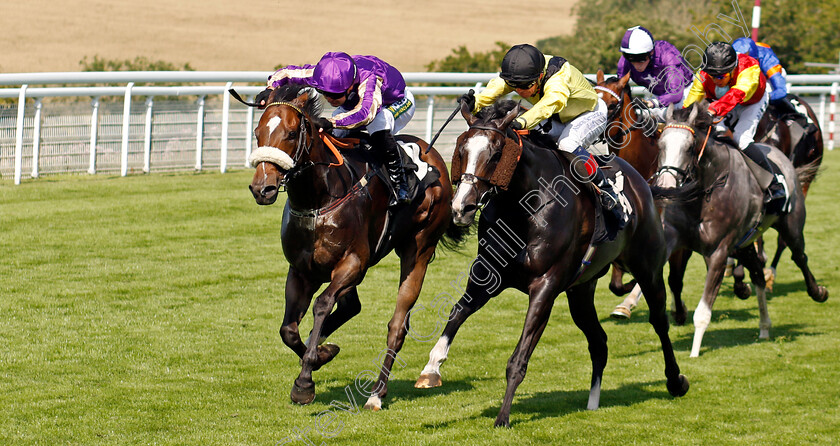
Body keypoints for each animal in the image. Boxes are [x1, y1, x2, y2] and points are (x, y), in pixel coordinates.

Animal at [246, 83, 470, 412]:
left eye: (290, 133)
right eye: (258, 131)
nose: (263, 188)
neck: (318, 198)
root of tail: (434, 156)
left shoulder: (353, 263)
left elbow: (322, 304)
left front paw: (305, 381)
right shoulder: (301, 270)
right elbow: (288, 329)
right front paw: (321, 353)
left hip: (418, 250)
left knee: (397, 326)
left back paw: (377, 393)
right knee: (352, 307)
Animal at [410, 99, 684, 426]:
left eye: (497, 153)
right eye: (461, 149)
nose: (461, 207)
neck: (523, 207)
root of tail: (642, 182)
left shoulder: (545, 287)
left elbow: (518, 358)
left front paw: (503, 417)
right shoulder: (487, 276)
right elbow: (456, 313)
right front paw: (430, 369)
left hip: (648, 267)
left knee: (659, 321)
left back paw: (676, 381)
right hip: (581, 291)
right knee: (599, 341)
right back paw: (593, 402)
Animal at [648, 99, 828, 358]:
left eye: (690, 147)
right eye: (661, 144)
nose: (666, 186)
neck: (705, 192)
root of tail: (781, 156)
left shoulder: (719, 251)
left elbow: (703, 311)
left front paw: (694, 352)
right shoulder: (675, 236)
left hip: (791, 226)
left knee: (799, 256)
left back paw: (817, 292)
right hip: (745, 242)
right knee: (757, 273)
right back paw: (764, 326)